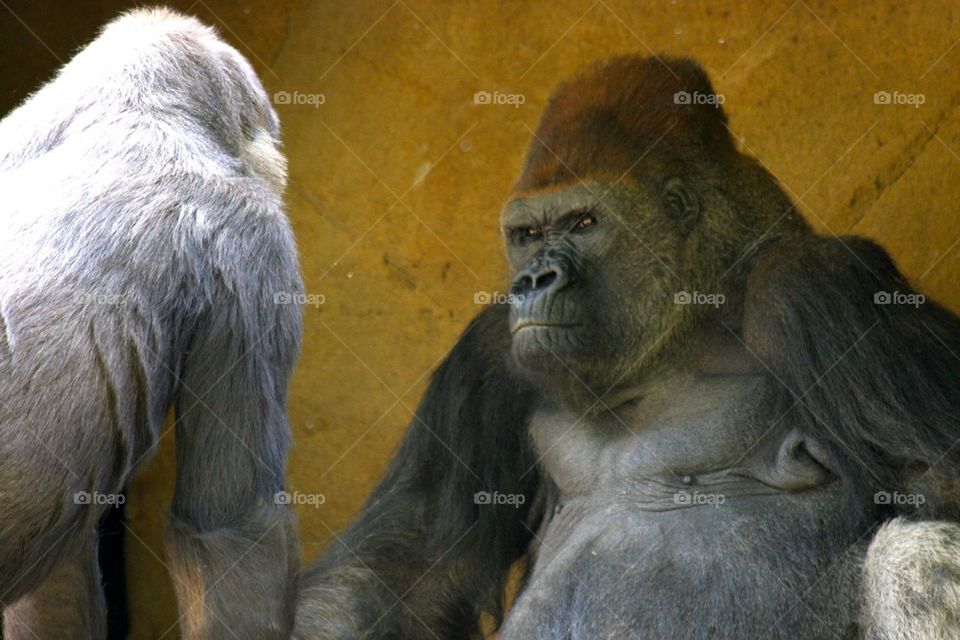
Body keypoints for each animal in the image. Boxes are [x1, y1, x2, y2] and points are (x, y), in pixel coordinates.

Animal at [294, 56, 960, 639]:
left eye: (585, 223)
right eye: (526, 234)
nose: (533, 281)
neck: (685, 320)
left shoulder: (817, 285)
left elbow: (939, 489)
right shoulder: (487, 352)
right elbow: (406, 567)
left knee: (917, 556)